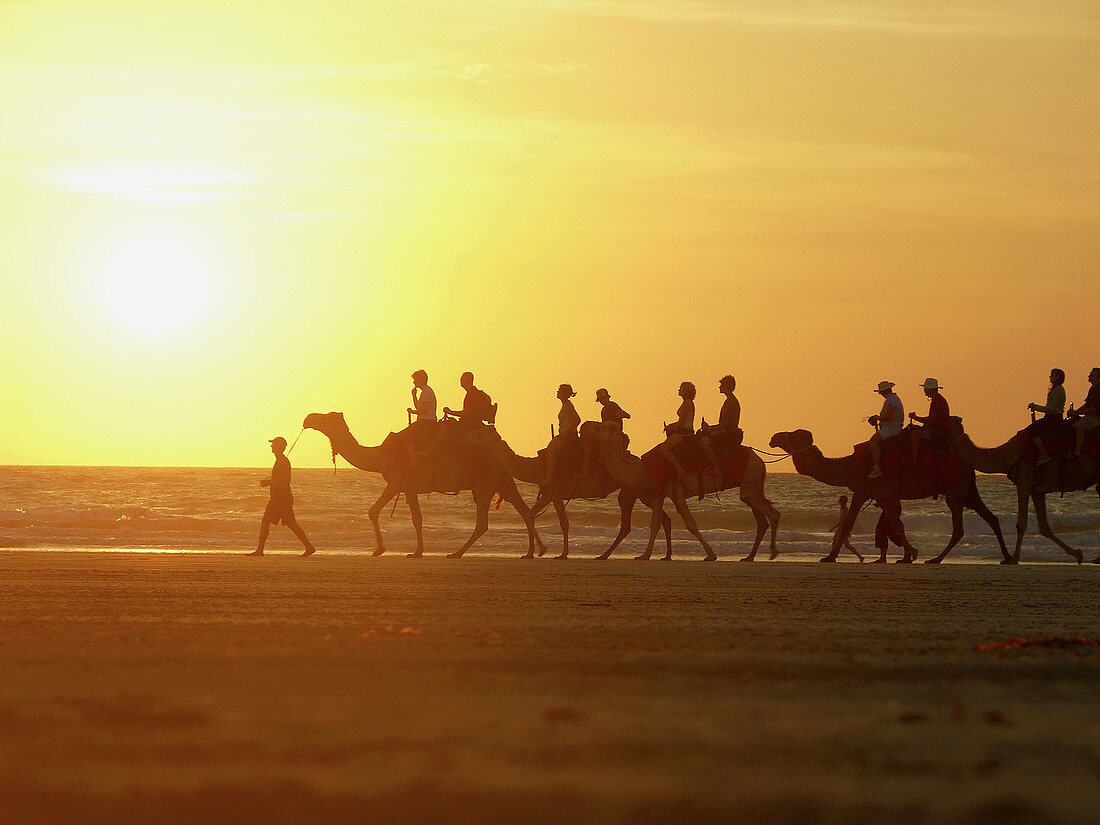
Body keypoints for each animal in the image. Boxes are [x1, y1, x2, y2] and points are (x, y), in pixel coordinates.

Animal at [301, 413, 541, 563]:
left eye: (325, 416)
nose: (307, 418)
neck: (378, 456)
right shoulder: (409, 488)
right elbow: (417, 519)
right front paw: (416, 551)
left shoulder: (396, 481)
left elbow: (373, 510)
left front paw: (380, 549)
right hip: (503, 479)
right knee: (526, 511)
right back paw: (532, 552)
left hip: (486, 482)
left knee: (483, 523)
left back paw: (456, 553)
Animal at [585, 426, 783, 563]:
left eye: (601, 427)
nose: (585, 426)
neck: (642, 470)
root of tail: (761, 461)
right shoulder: (659, 493)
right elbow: (655, 524)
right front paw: (644, 555)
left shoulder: (677, 491)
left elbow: (691, 524)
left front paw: (711, 555)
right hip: (750, 488)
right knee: (761, 520)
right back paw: (750, 557)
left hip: (751, 480)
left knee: (773, 514)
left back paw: (772, 552)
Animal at [770, 429, 1007, 567]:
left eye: (793, 434)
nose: (773, 437)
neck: (849, 466)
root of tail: (968, 463)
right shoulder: (881, 494)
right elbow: (896, 524)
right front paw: (910, 554)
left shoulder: (862, 490)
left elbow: (847, 524)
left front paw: (829, 557)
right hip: (968, 490)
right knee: (992, 518)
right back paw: (1007, 557)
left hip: (955, 490)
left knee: (959, 528)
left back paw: (936, 559)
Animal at [946, 415, 1100, 567]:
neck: (1006, 456)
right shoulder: (1037, 490)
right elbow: (1044, 526)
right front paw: (1078, 554)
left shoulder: (1023, 480)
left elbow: (1021, 523)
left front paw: (1013, 559)